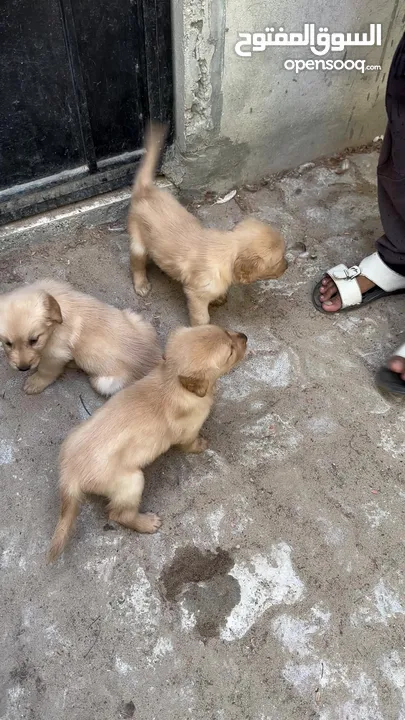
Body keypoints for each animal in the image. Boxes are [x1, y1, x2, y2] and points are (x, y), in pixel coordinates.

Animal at [47, 326, 246, 564]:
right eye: (230, 352)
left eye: (227, 331)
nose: (245, 336)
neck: (172, 381)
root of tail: (70, 474)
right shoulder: (188, 432)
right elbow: (190, 443)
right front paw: (201, 444)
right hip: (131, 481)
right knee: (118, 514)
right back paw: (146, 523)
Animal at [129, 124, 288, 326]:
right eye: (278, 260)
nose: (288, 266)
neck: (225, 253)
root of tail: (146, 190)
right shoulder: (196, 294)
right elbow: (202, 318)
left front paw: (219, 298)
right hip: (138, 244)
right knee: (136, 265)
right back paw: (141, 284)